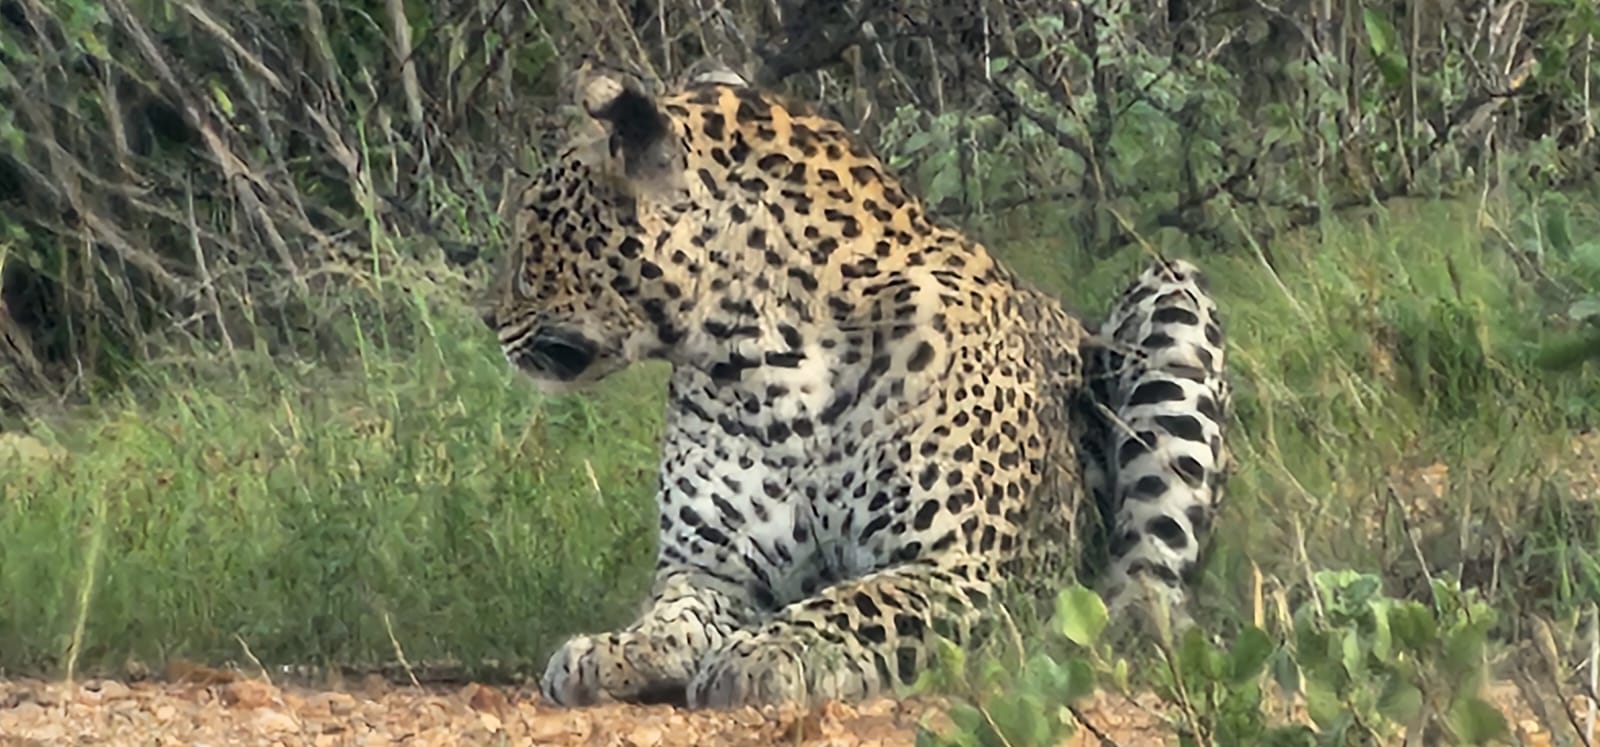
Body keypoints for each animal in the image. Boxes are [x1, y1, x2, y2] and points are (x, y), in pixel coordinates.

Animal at [480, 57, 1231, 710]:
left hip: (1172, 293)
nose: (486, 315)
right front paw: (613, 648)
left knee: (1152, 569)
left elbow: (857, 600)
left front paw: (767, 651)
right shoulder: (712, 564)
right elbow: (675, 611)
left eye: (534, 226)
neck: (764, 367)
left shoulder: (959, 567)